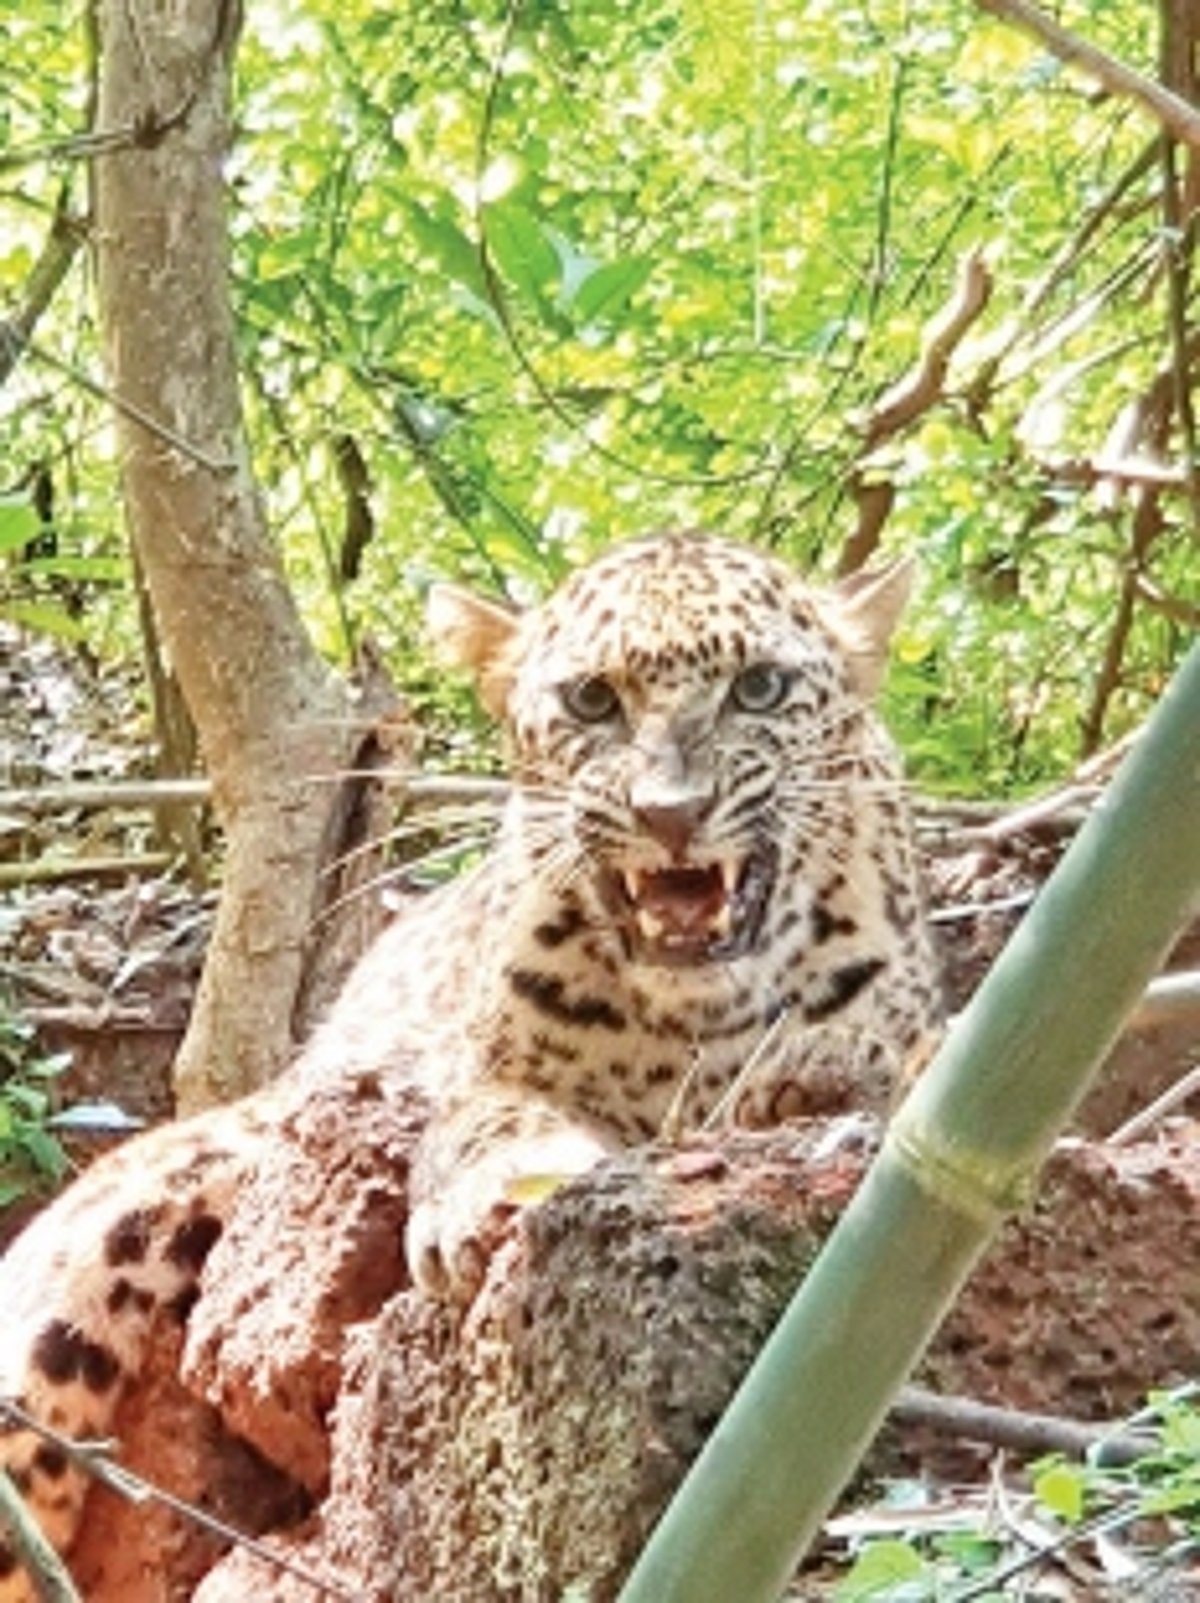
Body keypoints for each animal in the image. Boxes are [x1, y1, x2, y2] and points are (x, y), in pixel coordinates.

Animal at [0, 530, 940, 1599]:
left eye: (761, 687)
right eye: (592, 700)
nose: (672, 813)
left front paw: (820, 1074)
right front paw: (495, 1197)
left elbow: (878, 1060)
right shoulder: (485, 1071)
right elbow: (490, 1119)